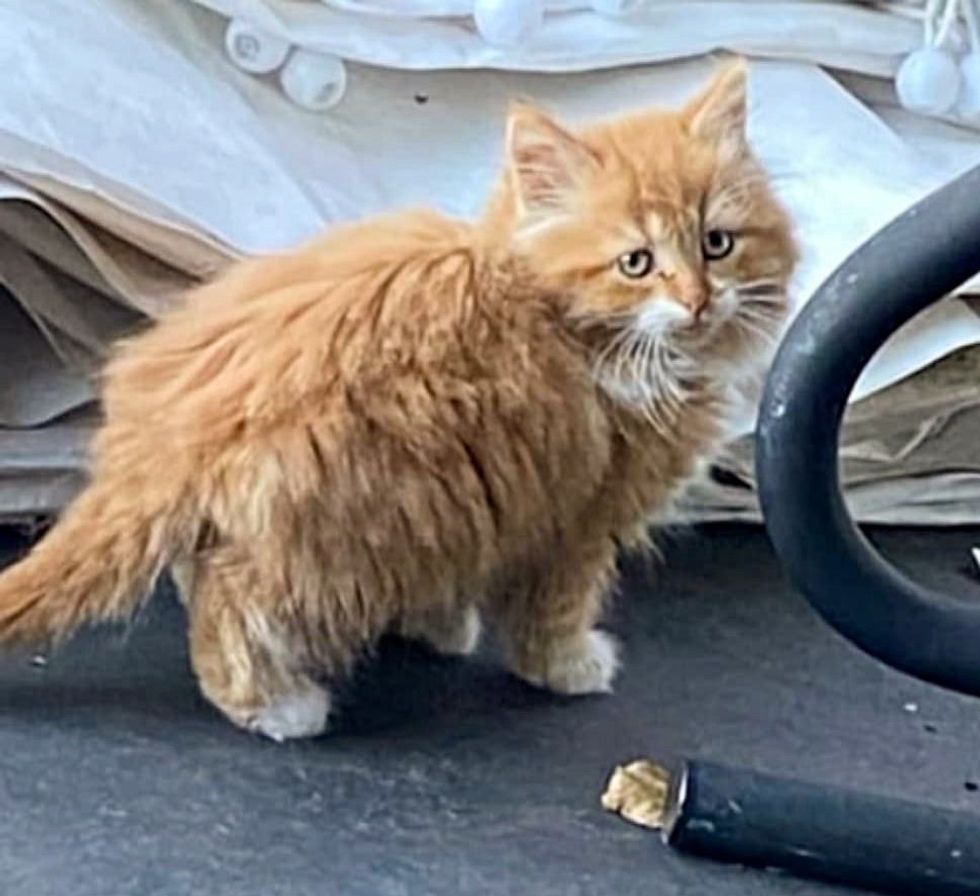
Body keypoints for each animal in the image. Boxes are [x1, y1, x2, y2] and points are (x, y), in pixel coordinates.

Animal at [0, 59, 796, 740]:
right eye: (637, 263)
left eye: (717, 244)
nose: (698, 302)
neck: (552, 312)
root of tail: (165, 438)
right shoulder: (577, 519)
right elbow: (554, 613)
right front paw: (569, 668)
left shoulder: (468, 507)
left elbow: (448, 584)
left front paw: (439, 628)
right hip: (327, 536)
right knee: (231, 608)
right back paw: (275, 706)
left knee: (201, 579)